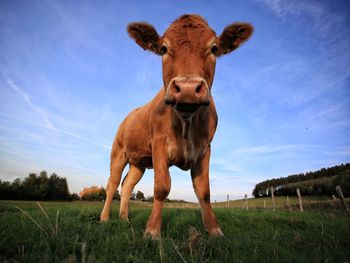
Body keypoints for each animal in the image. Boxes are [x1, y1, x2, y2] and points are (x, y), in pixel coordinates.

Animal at [100, 14, 253, 241]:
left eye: (214, 48)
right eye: (163, 48)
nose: (188, 88)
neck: (186, 124)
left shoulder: (205, 149)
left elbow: (204, 191)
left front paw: (214, 229)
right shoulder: (159, 145)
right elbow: (162, 187)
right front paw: (152, 230)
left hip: (139, 162)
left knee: (127, 185)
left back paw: (124, 219)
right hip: (118, 152)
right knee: (112, 185)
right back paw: (104, 218)